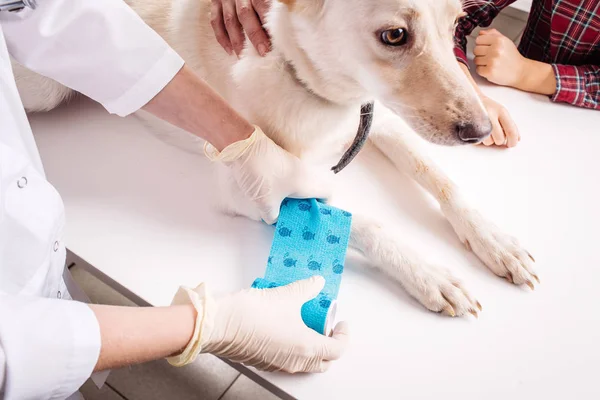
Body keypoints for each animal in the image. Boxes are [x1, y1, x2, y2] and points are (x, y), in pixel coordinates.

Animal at [12, 0, 540, 318]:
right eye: (394, 35)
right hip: (45, 89)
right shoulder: (258, 190)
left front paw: (495, 241)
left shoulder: (380, 122)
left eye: (454, 25)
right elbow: (366, 222)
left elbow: (442, 180)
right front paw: (426, 272)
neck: (319, 93)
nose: (480, 131)